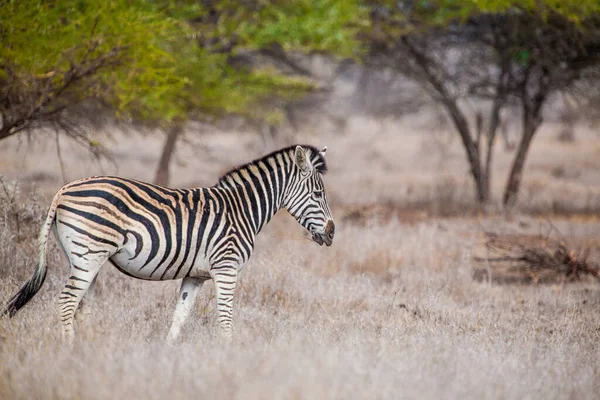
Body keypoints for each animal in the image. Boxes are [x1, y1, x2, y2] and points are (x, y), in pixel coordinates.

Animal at [2, 145, 336, 342]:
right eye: (318, 194)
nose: (332, 233)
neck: (242, 209)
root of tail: (63, 189)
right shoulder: (226, 269)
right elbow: (226, 318)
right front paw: (230, 355)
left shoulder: (196, 276)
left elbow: (179, 317)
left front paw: (169, 357)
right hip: (89, 253)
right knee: (67, 301)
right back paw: (69, 349)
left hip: (85, 259)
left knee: (80, 305)